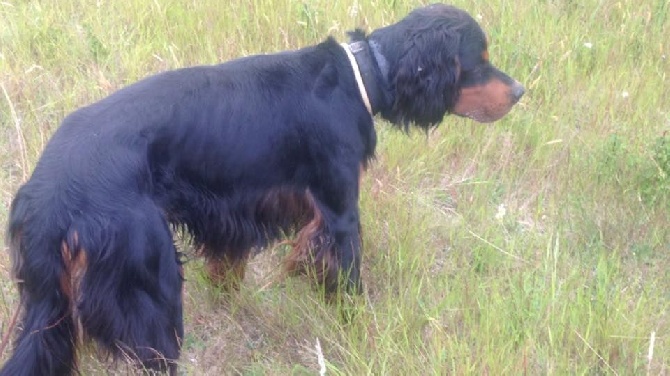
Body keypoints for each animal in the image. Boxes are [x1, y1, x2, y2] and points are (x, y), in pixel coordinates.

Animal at [0, 3, 524, 376]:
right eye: (478, 62)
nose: (520, 91)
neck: (359, 76)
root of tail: (49, 192)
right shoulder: (338, 211)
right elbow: (349, 280)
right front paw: (359, 328)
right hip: (149, 289)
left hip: (50, 307)